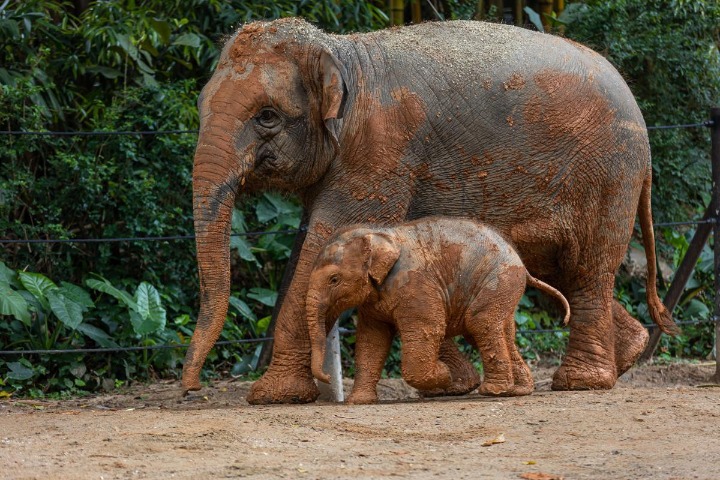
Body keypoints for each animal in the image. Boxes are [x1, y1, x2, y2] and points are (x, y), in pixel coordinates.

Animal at [306, 217, 571, 404]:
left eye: (334, 279)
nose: (327, 377)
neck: (379, 234)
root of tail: (523, 266)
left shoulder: (416, 285)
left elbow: (428, 328)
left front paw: (444, 376)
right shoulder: (373, 301)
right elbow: (372, 339)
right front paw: (358, 402)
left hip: (498, 282)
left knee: (481, 323)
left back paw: (492, 390)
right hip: (504, 291)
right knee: (499, 331)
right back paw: (518, 391)